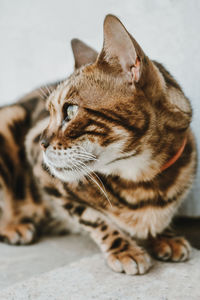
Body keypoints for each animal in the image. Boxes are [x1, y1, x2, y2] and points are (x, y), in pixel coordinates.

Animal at [0, 15, 197, 276]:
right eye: (48, 113)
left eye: (70, 110)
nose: (42, 143)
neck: (144, 181)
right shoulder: (42, 170)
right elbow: (93, 218)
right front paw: (124, 250)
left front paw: (165, 236)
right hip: (8, 119)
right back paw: (13, 226)